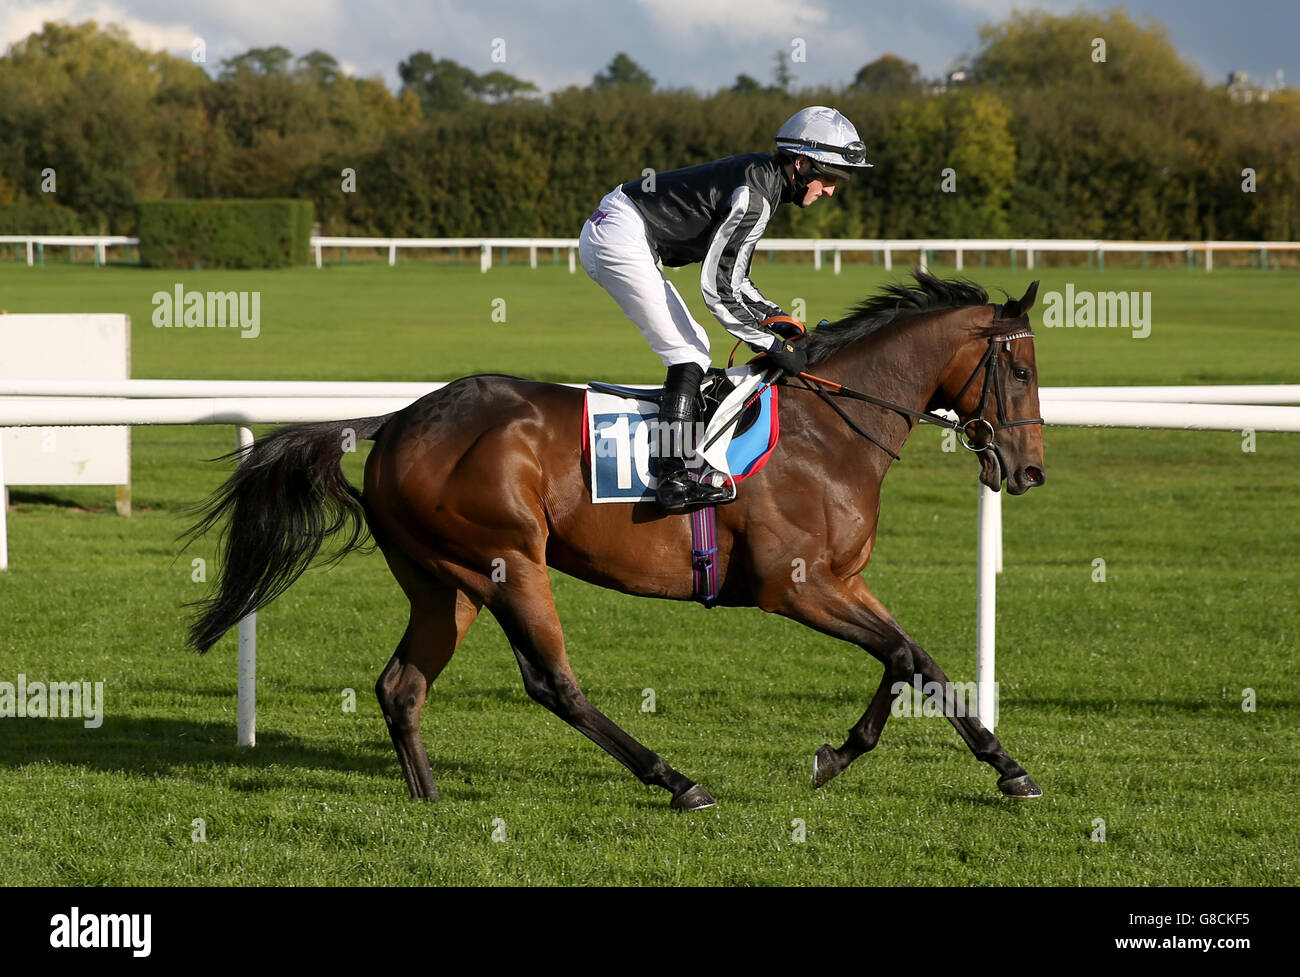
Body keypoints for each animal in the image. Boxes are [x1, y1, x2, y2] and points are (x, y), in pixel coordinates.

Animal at [185, 268, 1045, 810]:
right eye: (1023, 370)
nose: (1028, 468)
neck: (826, 429)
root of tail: (396, 419)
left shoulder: (844, 578)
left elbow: (915, 657)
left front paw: (999, 766)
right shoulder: (794, 584)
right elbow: (902, 654)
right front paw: (859, 756)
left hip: (444, 580)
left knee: (402, 684)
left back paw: (426, 797)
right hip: (508, 562)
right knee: (552, 683)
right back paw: (677, 780)